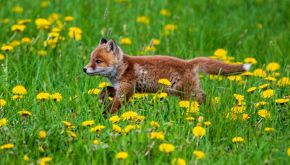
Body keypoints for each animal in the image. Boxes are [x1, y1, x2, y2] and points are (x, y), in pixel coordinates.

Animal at [82, 38, 250, 113]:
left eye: (98, 61)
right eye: (91, 59)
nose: (84, 69)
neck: (123, 68)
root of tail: (188, 63)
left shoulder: (126, 91)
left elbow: (114, 106)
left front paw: (106, 116)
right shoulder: (121, 89)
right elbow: (105, 90)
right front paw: (102, 100)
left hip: (188, 94)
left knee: (204, 98)